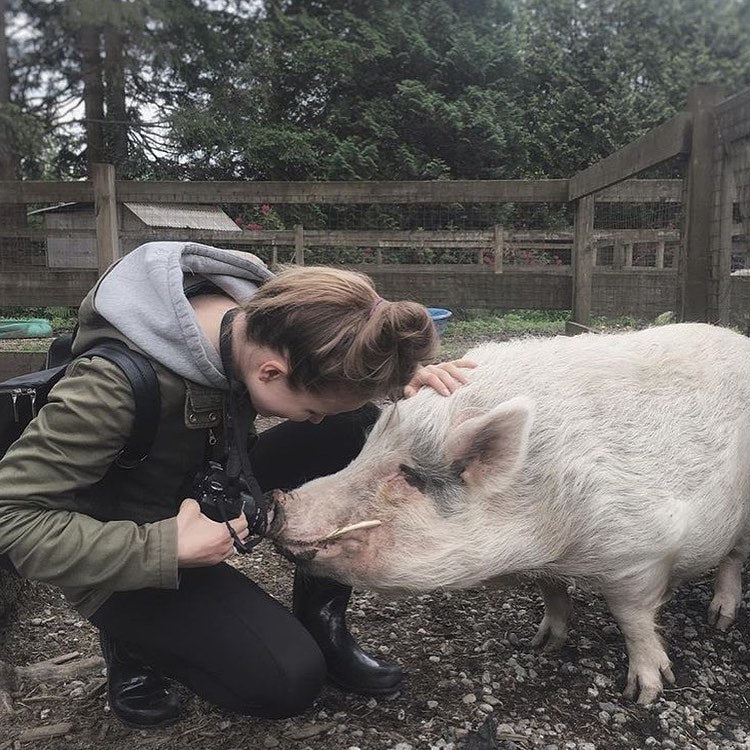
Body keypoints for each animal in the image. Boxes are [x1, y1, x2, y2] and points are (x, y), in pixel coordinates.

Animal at [274, 324, 750, 704]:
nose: (278, 502)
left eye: (408, 475)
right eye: (365, 452)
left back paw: (721, 621)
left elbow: (632, 618)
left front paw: (646, 694)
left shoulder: (639, 551)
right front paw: (542, 644)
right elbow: (550, 591)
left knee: (733, 558)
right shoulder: (547, 563)